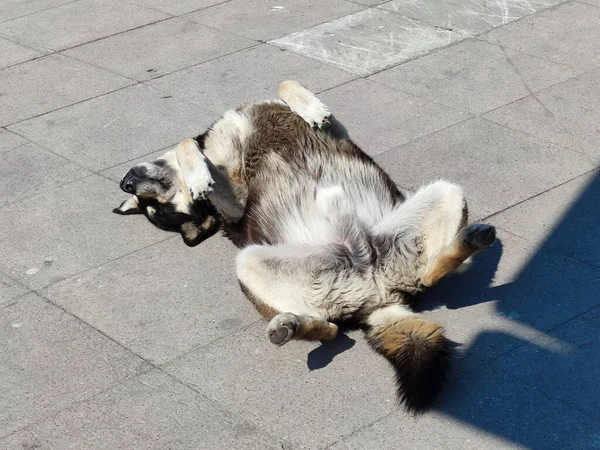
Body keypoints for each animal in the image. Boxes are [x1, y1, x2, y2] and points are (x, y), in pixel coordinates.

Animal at [113, 81, 496, 412]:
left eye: (151, 203)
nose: (125, 182)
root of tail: (379, 299)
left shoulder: (338, 131)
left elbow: (287, 86)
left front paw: (311, 108)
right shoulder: (234, 206)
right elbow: (185, 144)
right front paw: (197, 176)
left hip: (443, 193)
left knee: (428, 274)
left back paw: (470, 241)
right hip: (250, 262)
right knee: (331, 329)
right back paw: (291, 326)